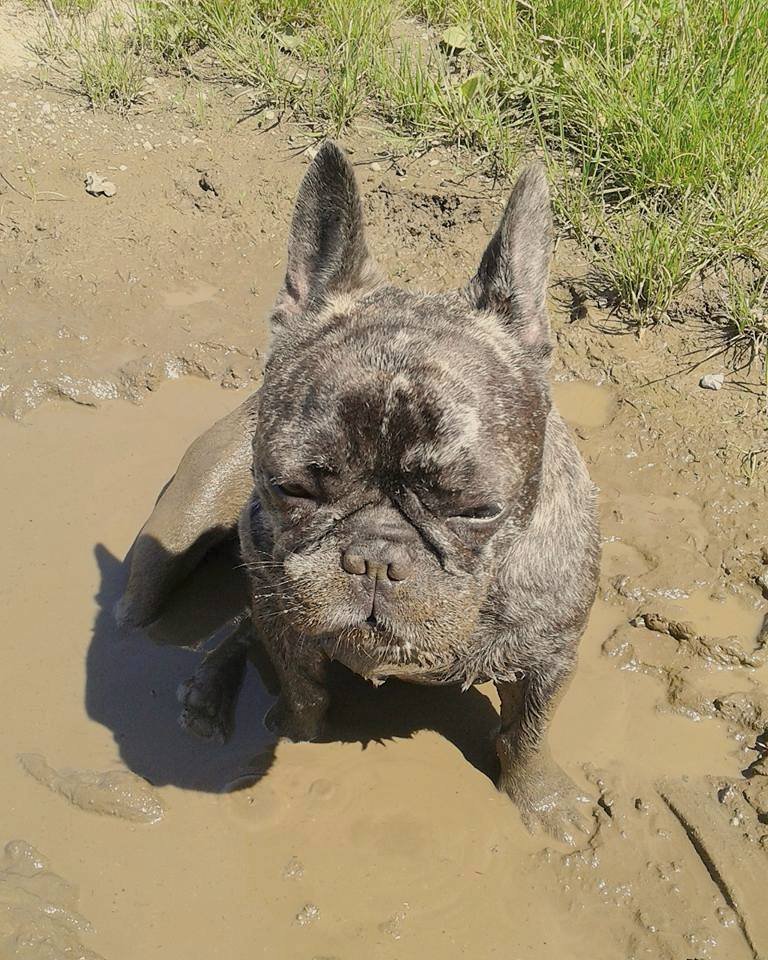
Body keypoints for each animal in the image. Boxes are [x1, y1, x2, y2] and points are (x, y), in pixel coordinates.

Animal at [118, 144, 600, 848]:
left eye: (476, 509)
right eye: (292, 488)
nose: (374, 556)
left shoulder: (551, 656)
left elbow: (528, 736)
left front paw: (539, 801)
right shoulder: (287, 623)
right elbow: (304, 696)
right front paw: (295, 738)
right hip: (187, 524)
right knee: (179, 611)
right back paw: (200, 688)